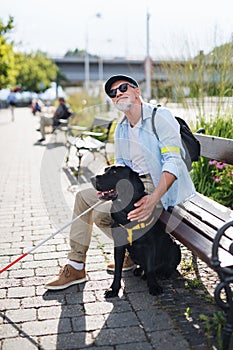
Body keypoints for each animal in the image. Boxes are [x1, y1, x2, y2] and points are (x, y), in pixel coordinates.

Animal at [90, 165, 180, 296]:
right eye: (106, 169)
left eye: (114, 172)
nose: (92, 178)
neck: (126, 212)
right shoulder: (119, 246)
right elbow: (118, 270)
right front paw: (114, 289)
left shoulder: (149, 246)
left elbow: (150, 268)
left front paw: (153, 286)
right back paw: (139, 271)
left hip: (175, 246)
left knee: (169, 266)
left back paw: (163, 273)